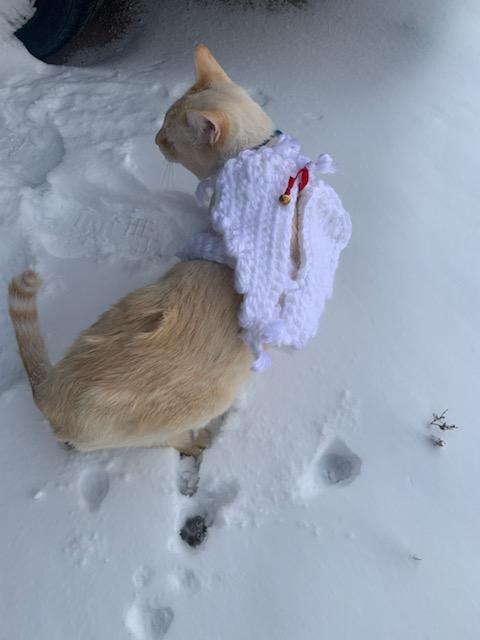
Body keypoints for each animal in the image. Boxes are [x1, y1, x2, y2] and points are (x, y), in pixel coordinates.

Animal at [7, 45, 274, 456]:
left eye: (169, 136)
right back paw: (201, 443)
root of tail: (50, 393)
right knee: (171, 441)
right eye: (161, 124)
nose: (154, 139)